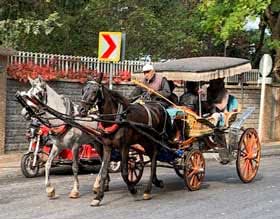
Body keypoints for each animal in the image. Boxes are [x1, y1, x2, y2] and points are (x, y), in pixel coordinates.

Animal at [78, 74, 171, 206]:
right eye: (83, 90)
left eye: (95, 91)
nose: (81, 109)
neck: (116, 118)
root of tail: (159, 107)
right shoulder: (107, 146)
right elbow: (104, 171)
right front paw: (98, 197)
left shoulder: (124, 147)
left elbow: (124, 172)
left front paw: (133, 191)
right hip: (145, 142)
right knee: (152, 157)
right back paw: (155, 181)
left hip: (154, 140)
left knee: (154, 160)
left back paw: (148, 190)